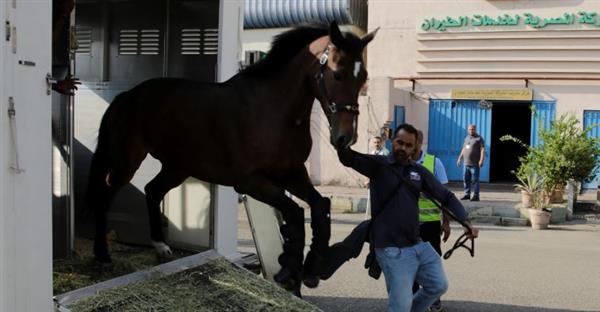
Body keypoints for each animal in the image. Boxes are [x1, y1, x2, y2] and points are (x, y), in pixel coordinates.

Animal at [86, 22, 378, 294]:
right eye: (337, 74)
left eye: (363, 76)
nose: (345, 138)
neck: (273, 108)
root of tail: (127, 96)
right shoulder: (250, 181)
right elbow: (294, 214)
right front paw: (288, 270)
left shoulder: (292, 174)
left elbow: (320, 206)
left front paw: (311, 268)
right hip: (128, 160)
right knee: (105, 194)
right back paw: (102, 255)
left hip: (178, 167)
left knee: (152, 190)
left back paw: (161, 247)